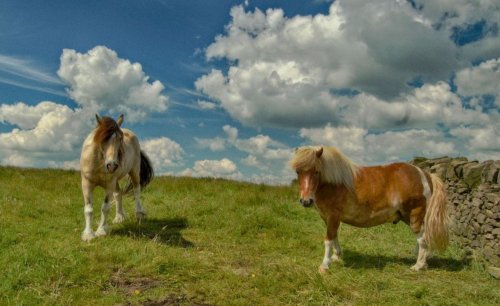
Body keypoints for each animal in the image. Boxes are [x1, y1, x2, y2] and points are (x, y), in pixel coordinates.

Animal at [290, 147, 450, 272]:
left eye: (316, 171)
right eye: (298, 172)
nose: (306, 201)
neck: (334, 183)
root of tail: (425, 174)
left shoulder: (333, 216)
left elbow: (328, 239)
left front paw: (324, 265)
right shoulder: (327, 218)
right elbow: (334, 236)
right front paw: (336, 256)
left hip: (415, 213)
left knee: (422, 238)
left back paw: (418, 265)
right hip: (406, 216)